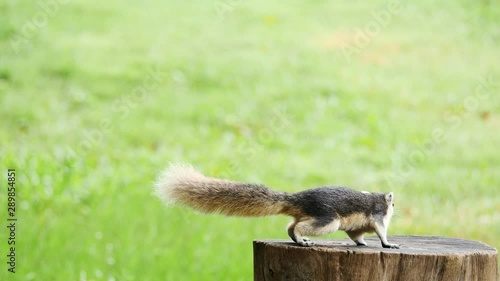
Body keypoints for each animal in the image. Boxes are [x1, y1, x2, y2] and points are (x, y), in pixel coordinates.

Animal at [154, 164, 400, 247]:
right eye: (393, 203)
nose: (395, 206)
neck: (376, 198)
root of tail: (298, 199)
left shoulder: (358, 226)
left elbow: (357, 236)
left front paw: (363, 243)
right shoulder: (377, 216)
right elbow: (381, 231)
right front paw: (389, 244)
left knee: (291, 226)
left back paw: (298, 239)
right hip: (328, 221)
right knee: (299, 227)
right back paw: (302, 239)